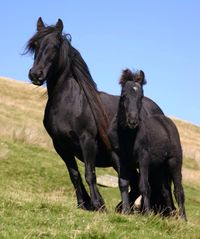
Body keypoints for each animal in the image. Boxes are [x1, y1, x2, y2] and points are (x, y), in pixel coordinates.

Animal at [26, 18, 164, 212]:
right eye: (35, 45)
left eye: (54, 46)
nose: (36, 74)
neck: (69, 102)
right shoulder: (60, 145)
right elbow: (74, 174)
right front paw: (83, 203)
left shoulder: (87, 141)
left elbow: (89, 174)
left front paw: (98, 205)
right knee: (135, 183)